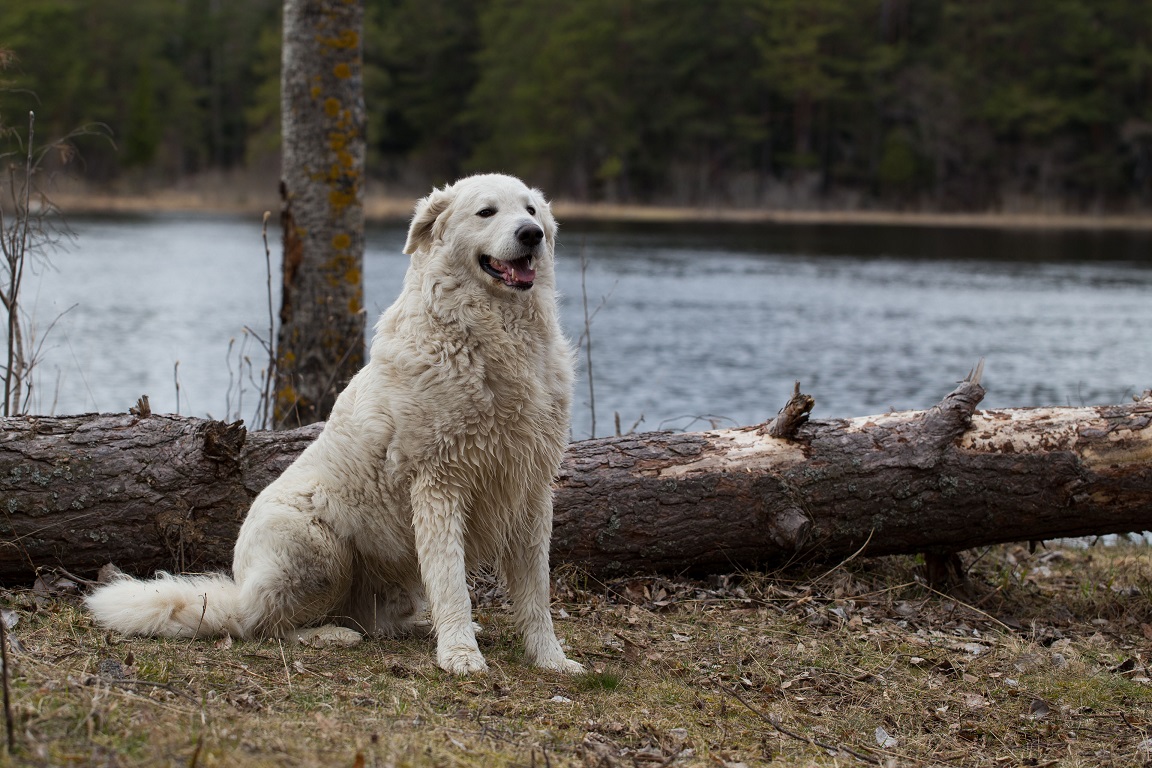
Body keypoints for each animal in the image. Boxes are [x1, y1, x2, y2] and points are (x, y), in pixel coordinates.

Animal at [84, 173, 580, 672]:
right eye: (486, 212)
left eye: (530, 210)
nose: (531, 235)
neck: (495, 336)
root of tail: (239, 589)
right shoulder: (439, 483)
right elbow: (452, 581)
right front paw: (460, 656)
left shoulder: (531, 488)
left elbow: (536, 592)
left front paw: (551, 659)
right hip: (320, 553)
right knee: (261, 625)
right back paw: (330, 635)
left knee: (372, 620)